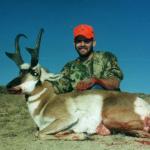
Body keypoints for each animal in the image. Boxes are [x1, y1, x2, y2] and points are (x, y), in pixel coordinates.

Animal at [5, 28, 150, 140]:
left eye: (34, 72)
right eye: (20, 71)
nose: (8, 86)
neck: (47, 102)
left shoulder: (66, 119)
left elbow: (39, 133)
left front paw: (81, 135)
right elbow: (41, 132)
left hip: (109, 118)